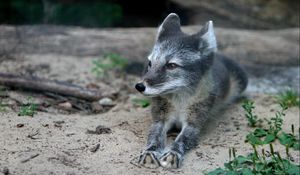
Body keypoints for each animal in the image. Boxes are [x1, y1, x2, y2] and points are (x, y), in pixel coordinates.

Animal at [135, 13, 247, 169]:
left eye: (171, 65)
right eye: (150, 63)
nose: (139, 86)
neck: (179, 102)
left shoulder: (194, 124)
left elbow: (181, 140)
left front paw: (173, 153)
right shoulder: (160, 120)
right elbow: (154, 137)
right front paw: (150, 151)